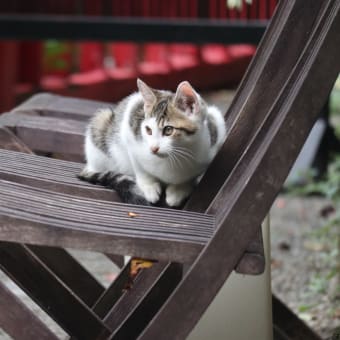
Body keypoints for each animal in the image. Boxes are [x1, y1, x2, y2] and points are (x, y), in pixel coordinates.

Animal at [79, 79, 226, 207]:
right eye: (148, 130)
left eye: (168, 130)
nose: (153, 148)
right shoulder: (129, 130)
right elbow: (139, 166)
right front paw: (149, 186)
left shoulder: (215, 134)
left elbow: (191, 176)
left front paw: (179, 190)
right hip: (101, 124)